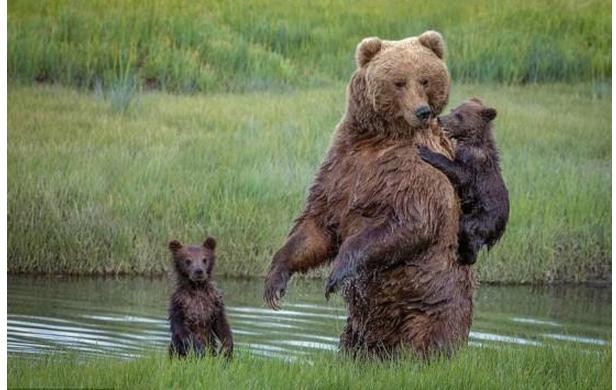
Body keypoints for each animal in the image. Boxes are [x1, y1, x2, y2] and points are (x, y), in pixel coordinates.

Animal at [264, 31, 476, 360]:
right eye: (399, 81)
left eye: (425, 79)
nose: (422, 111)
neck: (379, 138)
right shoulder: (342, 165)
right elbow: (318, 224)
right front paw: (275, 282)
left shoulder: (417, 170)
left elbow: (409, 223)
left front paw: (337, 273)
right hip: (359, 326)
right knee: (355, 341)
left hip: (432, 301)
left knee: (430, 336)